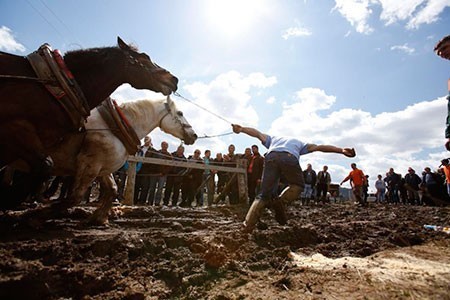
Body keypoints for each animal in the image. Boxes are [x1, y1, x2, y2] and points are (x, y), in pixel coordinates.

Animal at [44, 97, 197, 224]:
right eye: (180, 113)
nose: (194, 135)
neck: (113, 127)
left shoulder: (102, 167)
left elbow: (113, 189)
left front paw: (99, 218)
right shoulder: (90, 165)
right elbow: (75, 196)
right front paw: (45, 213)